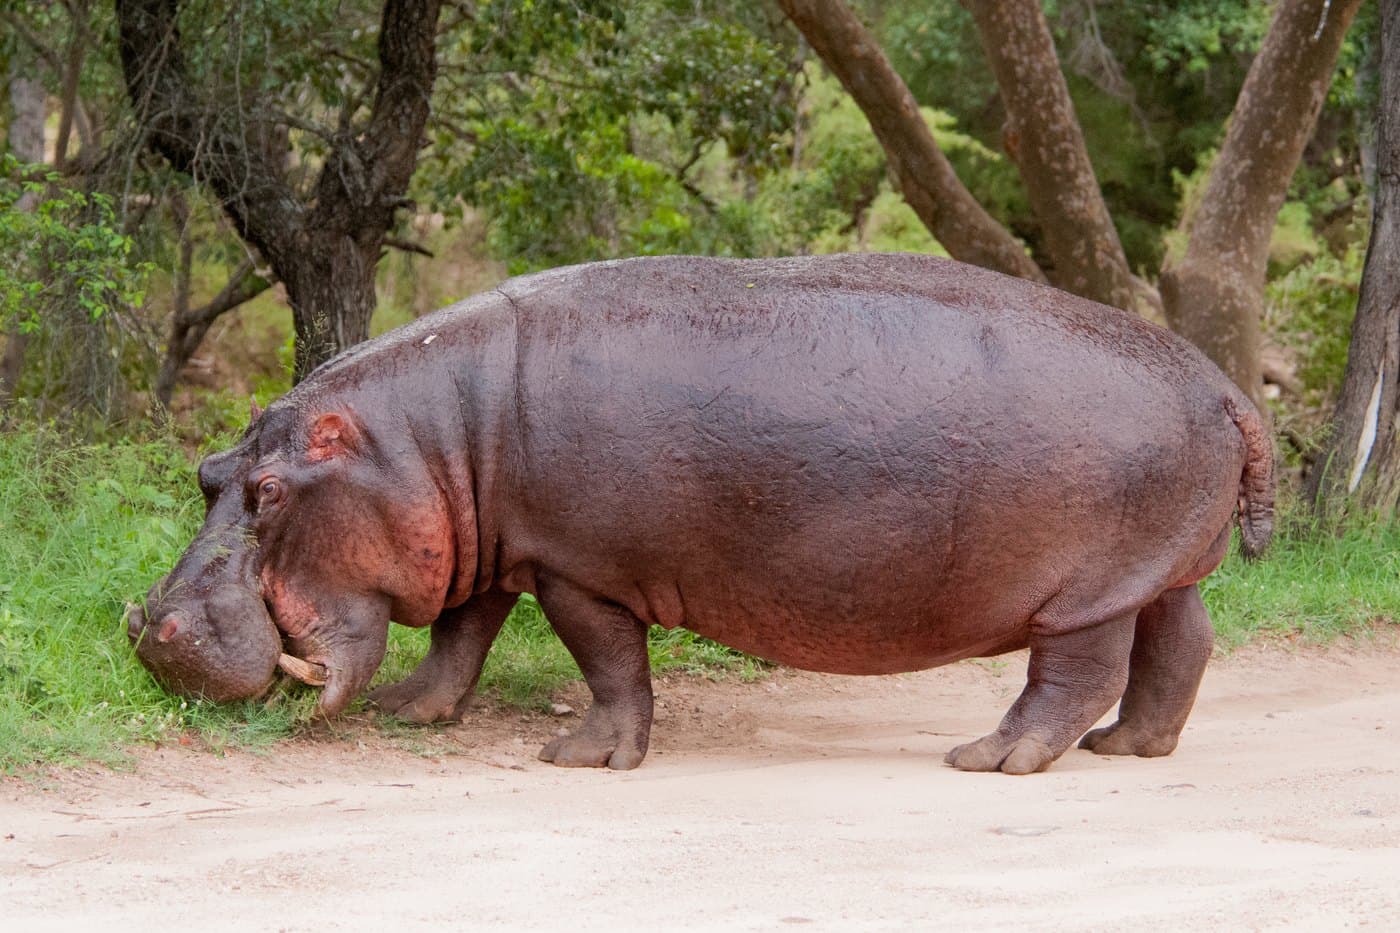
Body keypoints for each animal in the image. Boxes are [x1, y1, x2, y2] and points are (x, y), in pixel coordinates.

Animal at [127, 253, 1273, 774]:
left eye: (270, 493)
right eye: (207, 469)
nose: (151, 629)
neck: (432, 437)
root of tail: (1224, 383)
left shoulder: (577, 567)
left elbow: (606, 663)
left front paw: (580, 758)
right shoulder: (495, 545)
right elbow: (460, 636)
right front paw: (412, 711)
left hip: (1085, 588)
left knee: (1075, 674)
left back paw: (990, 759)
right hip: (1161, 562)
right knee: (1182, 641)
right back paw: (1130, 750)